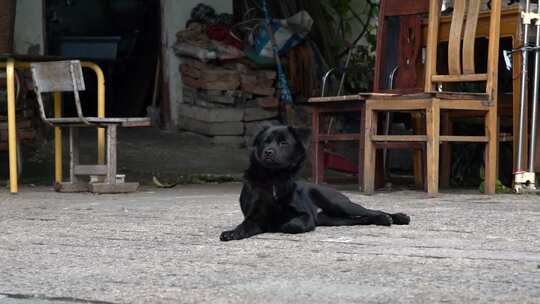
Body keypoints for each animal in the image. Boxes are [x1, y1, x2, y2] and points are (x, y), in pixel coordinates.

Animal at [219, 124, 410, 242]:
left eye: (283, 143)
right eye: (265, 142)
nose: (268, 152)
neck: (274, 178)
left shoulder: (306, 215)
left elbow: (293, 224)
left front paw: (282, 225)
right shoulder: (254, 217)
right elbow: (244, 226)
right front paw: (233, 232)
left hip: (338, 204)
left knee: (371, 210)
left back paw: (395, 217)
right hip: (333, 219)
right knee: (361, 219)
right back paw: (382, 220)